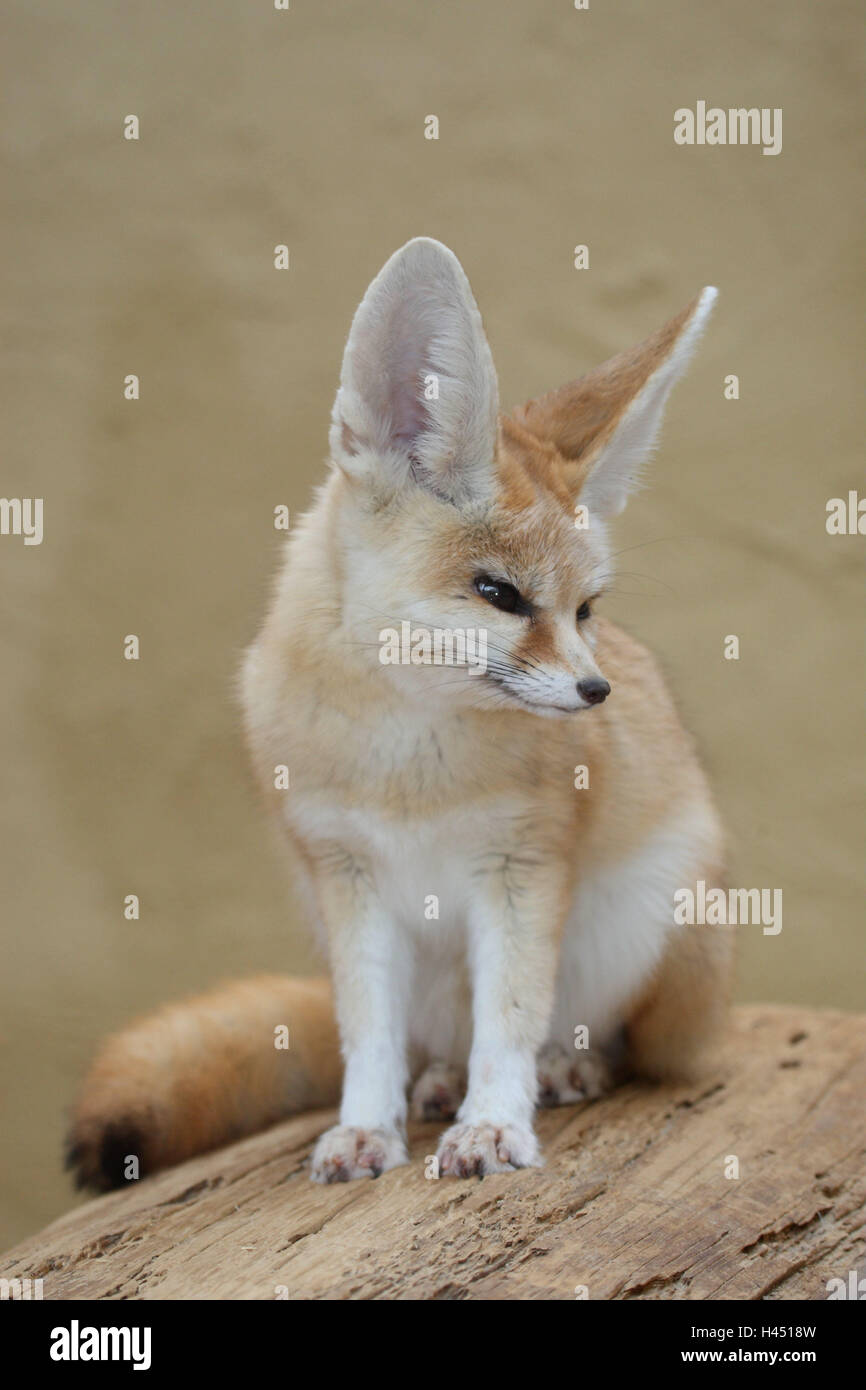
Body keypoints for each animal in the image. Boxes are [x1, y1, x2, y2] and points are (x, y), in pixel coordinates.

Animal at [69, 236, 733, 1184]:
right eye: (499, 593)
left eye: (586, 610)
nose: (596, 693)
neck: (407, 765)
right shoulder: (348, 879)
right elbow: (368, 1038)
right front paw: (365, 1128)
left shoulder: (521, 871)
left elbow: (511, 1021)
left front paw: (494, 1125)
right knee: (431, 1044)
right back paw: (439, 1084)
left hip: (648, 924)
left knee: (619, 1043)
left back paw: (568, 1067)